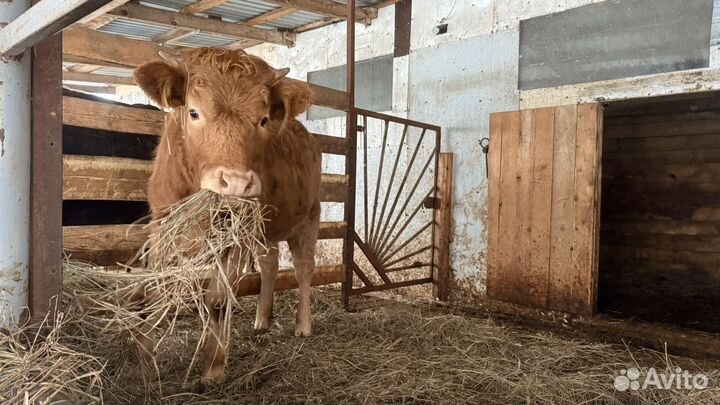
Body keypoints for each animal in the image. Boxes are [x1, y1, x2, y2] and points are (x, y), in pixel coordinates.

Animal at [133, 48, 321, 385]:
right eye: (193, 112)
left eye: (262, 119)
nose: (235, 182)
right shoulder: (162, 224)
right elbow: (153, 289)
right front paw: (145, 360)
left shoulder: (235, 237)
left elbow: (218, 299)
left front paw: (214, 367)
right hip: (265, 230)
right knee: (270, 264)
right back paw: (262, 319)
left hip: (309, 218)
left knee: (303, 268)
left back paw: (303, 325)